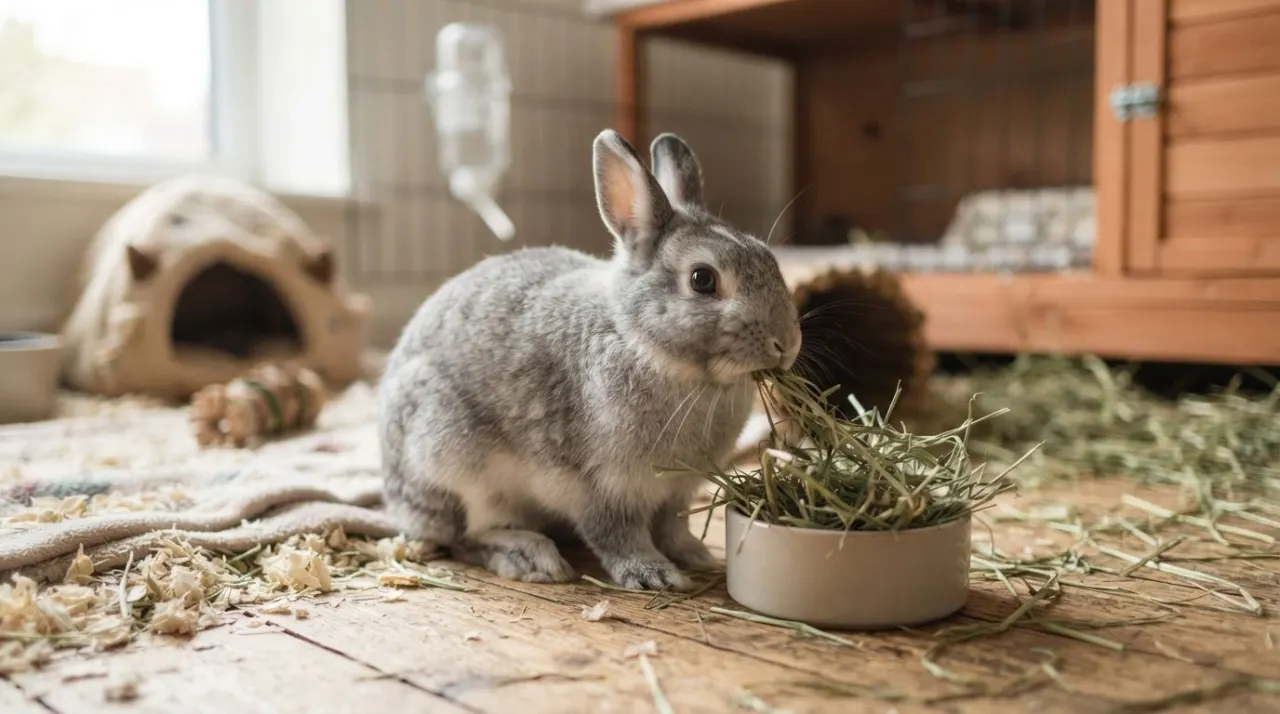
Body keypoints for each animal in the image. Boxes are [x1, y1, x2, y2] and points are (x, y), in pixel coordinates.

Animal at [378, 129, 802, 592]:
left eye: (768, 257)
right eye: (702, 279)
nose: (787, 344)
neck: (638, 340)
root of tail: (398, 499)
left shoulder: (677, 490)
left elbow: (673, 527)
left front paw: (696, 556)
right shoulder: (603, 486)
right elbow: (617, 534)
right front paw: (654, 575)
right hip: (453, 459)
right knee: (467, 534)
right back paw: (531, 557)